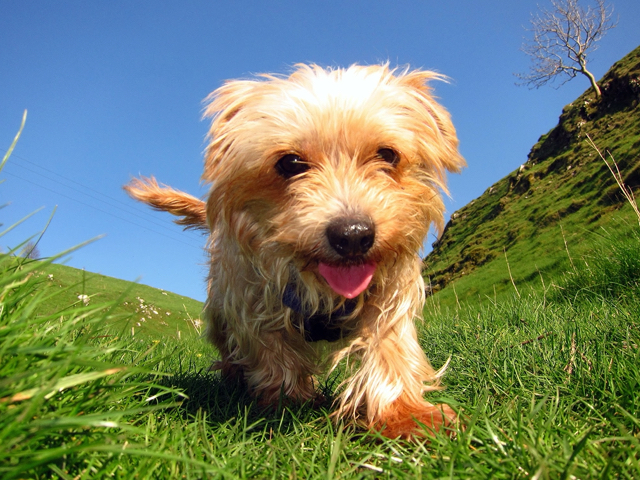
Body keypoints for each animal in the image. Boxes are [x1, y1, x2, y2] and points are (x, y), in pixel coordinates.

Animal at [125, 63, 464, 438]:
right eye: (290, 163)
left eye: (387, 154)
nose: (353, 235)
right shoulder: (253, 300)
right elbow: (272, 353)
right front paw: (289, 400)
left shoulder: (389, 294)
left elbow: (389, 350)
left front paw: (404, 413)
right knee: (229, 346)